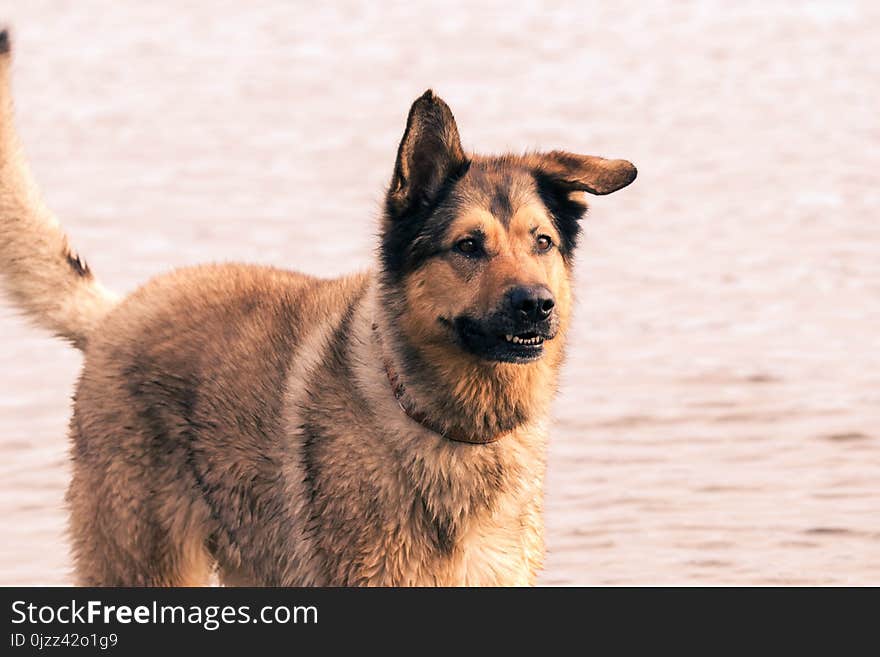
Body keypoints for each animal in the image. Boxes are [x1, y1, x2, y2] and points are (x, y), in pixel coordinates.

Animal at [0, 30, 640, 584]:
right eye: (467, 246)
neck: (447, 427)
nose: (537, 305)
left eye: (542, 242)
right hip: (144, 565)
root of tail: (115, 313)